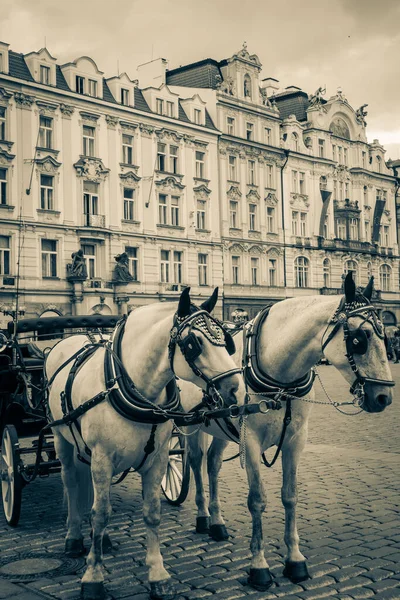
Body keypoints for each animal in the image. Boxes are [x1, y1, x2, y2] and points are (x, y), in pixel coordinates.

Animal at [47, 288, 247, 600]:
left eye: (225, 340)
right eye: (193, 344)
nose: (237, 391)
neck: (131, 387)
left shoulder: (157, 459)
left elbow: (151, 513)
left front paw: (157, 574)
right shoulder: (102, 459)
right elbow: (101, 514)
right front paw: (93, 577)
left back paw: (101, 540)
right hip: (62, 440)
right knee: (71, 482)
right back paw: (74, 537)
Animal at [180, 276, 394, 592]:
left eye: (385, 337)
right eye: (359, 339)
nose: (383, 397)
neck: (280, 376)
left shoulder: (296, 440)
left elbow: (290, 496)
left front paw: (295, 560)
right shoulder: (250, 442)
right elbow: (257, 500)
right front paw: (259, 566)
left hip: (221, 429)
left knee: (213, 464)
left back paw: (217, 522)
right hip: (192, 426)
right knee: (195, 463)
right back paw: (203, 516)